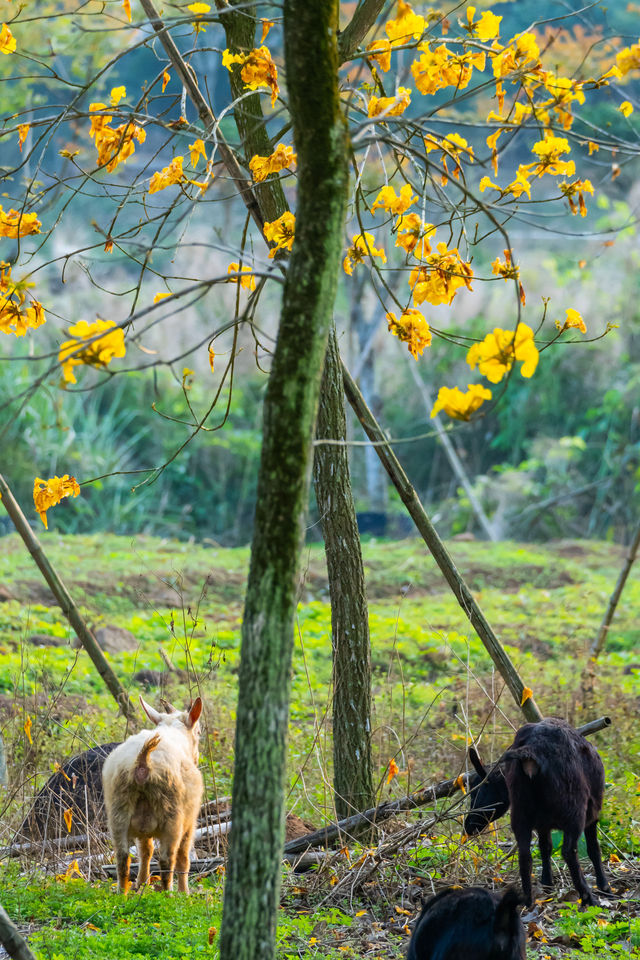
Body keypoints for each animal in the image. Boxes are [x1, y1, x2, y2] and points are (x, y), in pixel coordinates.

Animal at [102, 696, 202, 892]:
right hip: (172, 814)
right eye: (199, 732)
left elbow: (145, 850)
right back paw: (168, 893)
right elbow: (183, 857)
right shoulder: (190, 820)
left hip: (118, 810)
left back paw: (122, 893)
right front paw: (184, 892)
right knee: (167, 859)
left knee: (123, 858)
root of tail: (142, 762)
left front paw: (142, 884)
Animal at [462, 720, 608, 908]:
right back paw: (588, 897)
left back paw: (528, 900)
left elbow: (545, 847)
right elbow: (594, 848)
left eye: (478, 789)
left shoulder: (541, 823)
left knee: (525, 855)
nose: (468, 826)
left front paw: (547, 883)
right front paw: (604, 885)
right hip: (574, 811)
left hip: (520, 813)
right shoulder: (593, 812)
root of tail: (529, 753)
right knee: (569, 851)